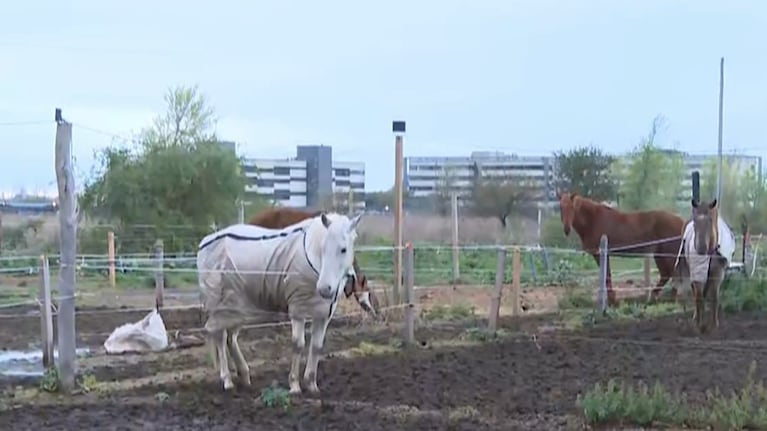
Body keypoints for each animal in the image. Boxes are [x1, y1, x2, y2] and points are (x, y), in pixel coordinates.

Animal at [197, 212, 363, 394]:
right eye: (323, 248)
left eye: (343, 249)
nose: (325, 289)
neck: (312, 259)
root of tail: (205, 242)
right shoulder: (298, 310)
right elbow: (298, 345)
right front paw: (294, 385)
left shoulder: (324, 313)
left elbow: (317, 346)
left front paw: (312, 385)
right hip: (219, 306)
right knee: (219, 336)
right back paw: (227, 380)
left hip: (237, 308)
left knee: (230, 339)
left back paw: (245, 376)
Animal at [557, 192, 686, 305]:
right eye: (561, 207)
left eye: (572, 207)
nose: (566, 229)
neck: (593, 220)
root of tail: (681, 221)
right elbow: (607, 276)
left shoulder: (601, 254)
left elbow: (607, 277)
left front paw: (612, 301)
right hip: (659, 254)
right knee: (666, 274)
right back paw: (654, 297)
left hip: (668, 254)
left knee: (674, 275)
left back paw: (670, 299)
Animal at [675, 198, 735, 332]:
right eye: (695, 221)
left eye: (710, 220)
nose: (700, 248)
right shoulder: (698, 273)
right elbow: (698, 296)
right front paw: (699, 325)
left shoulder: (717, 274)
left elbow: (714, 298)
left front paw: (714, 324)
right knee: (696, 293)